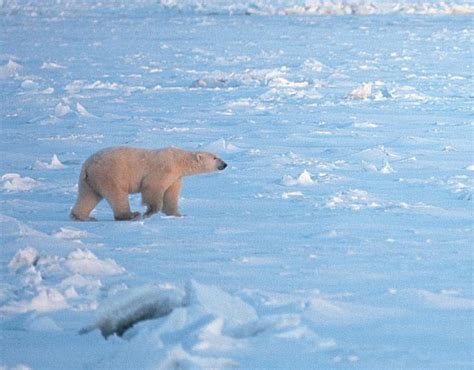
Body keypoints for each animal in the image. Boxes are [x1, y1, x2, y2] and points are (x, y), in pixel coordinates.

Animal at [69, 147, 227, 221]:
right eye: (215, 158)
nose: (225, 164)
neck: (178, 160)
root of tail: (88, 166)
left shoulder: (175, 177)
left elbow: (171, 195)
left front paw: (178, 214)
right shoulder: (164, 169)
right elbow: (152, 187)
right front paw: (149, 212)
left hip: (89, 180)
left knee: (88, 196)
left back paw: (83, 217)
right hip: (110, 174)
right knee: (117, 194)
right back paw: (131, 215)